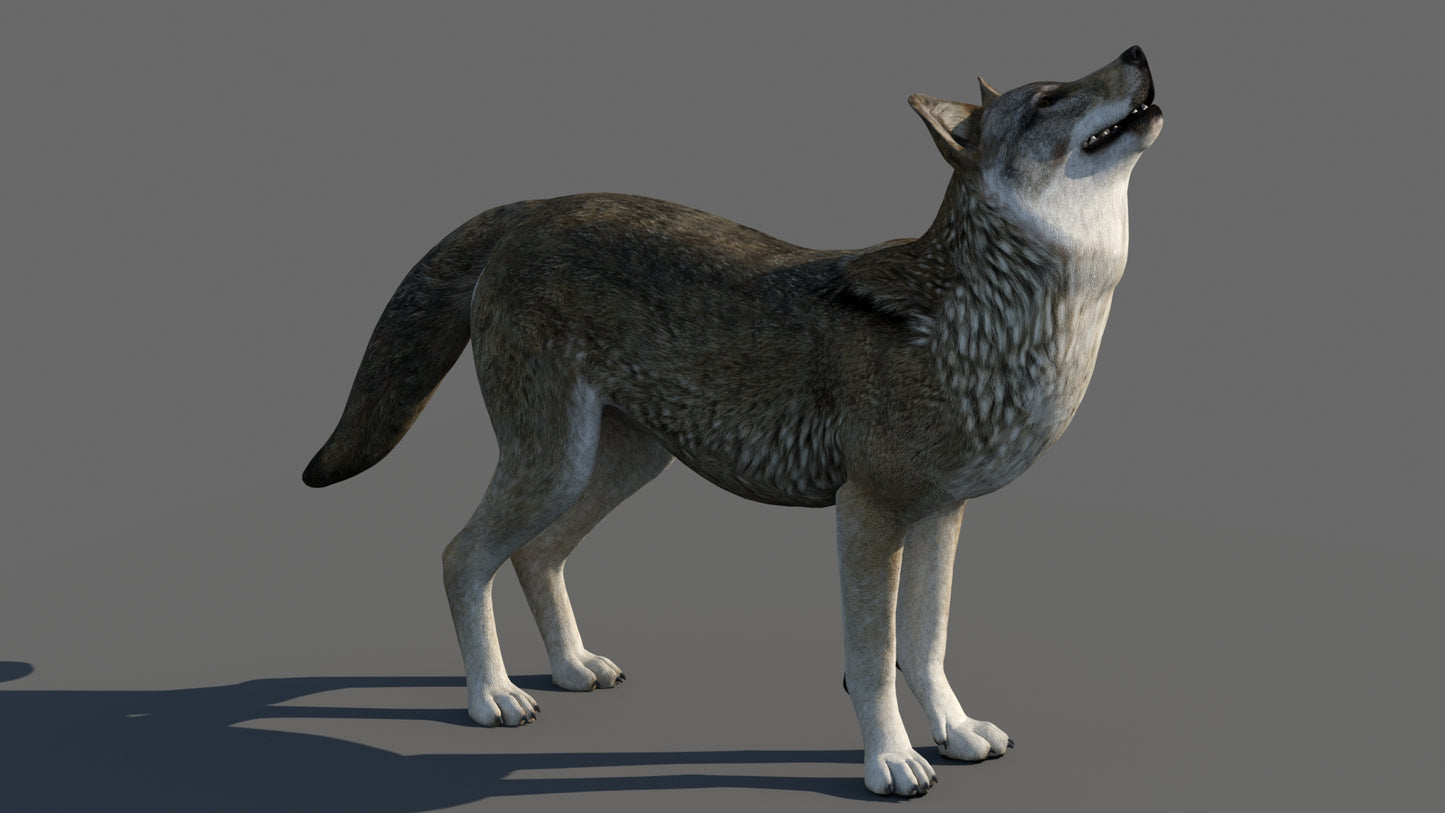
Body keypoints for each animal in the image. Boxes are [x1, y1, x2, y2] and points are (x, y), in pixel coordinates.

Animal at [304, 46, 1162, 796]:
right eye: (1048, 100)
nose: (1137, 51)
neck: (991, 320)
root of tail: (533, 209)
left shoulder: (939, 514)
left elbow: (926, 644)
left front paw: (953, 732)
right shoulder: (868, 511)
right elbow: (874, 657)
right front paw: (889, 761)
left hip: (617, 467)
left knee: (535, 555)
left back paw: (573, 667)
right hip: (554, 466)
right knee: (461, 555)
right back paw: (493, 697)